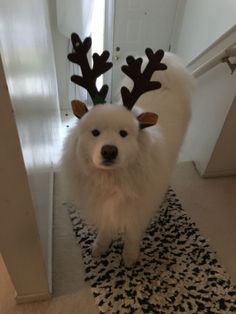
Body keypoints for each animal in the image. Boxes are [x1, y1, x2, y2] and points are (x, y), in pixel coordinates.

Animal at [61, 34, 194, 266]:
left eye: (123, 134)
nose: (109, 151)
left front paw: (130, 256)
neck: (113, 179)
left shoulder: (138, 208)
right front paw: (100, 246)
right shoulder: (103, 205)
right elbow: (106, 227)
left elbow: (132, 232)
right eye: (95, 132)